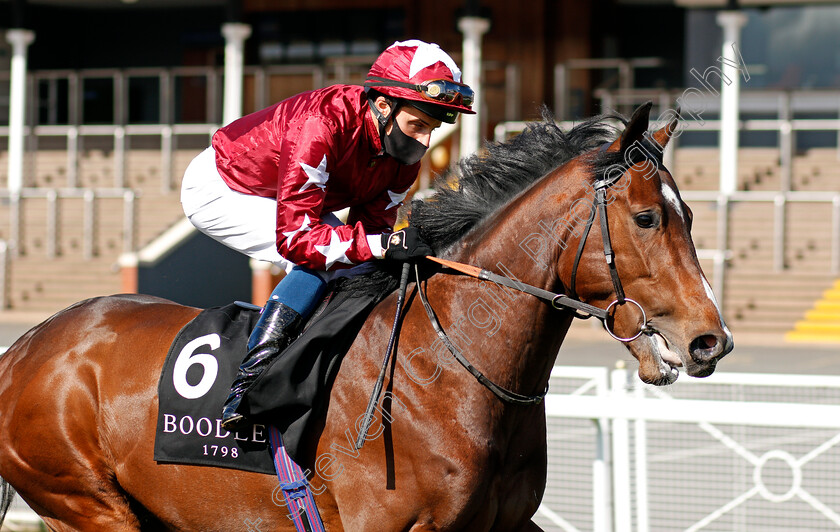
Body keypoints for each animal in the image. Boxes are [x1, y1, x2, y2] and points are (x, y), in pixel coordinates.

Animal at [0, 102, 732, 528]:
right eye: (647, 217)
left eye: (692, 216)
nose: (710, 341)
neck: (445, 372)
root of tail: (25, 346)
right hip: (84, 501)